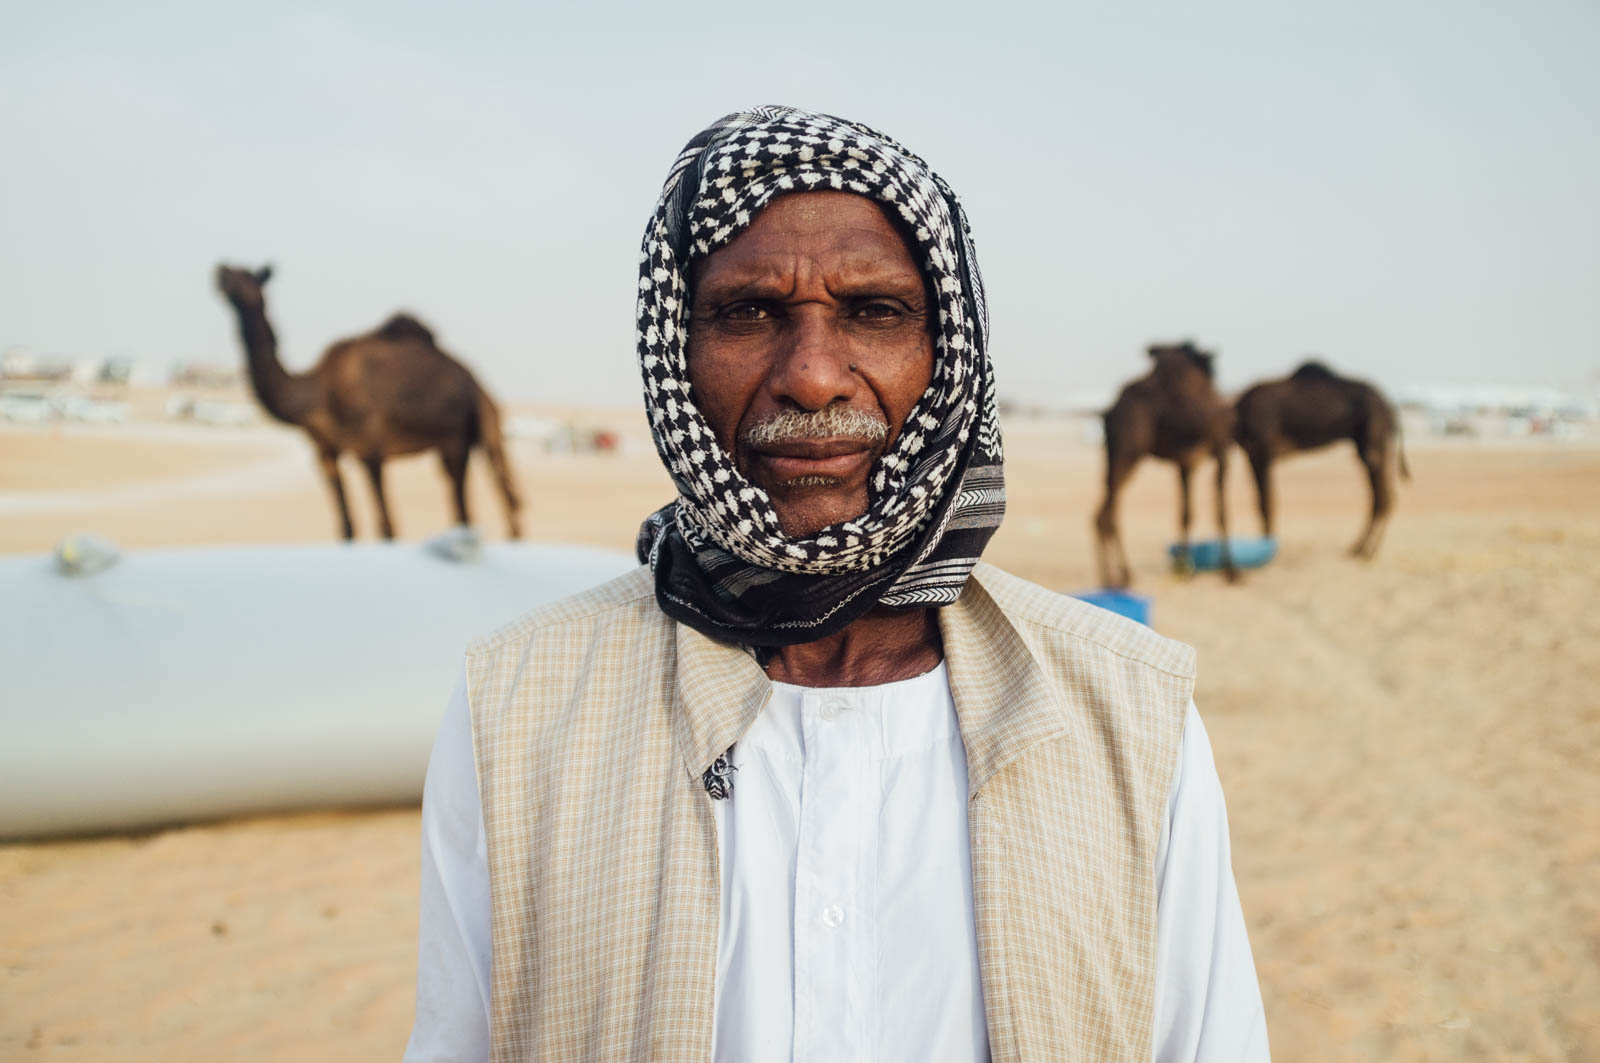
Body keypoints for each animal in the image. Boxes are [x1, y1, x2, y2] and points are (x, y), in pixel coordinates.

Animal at [215, 264, 521, 541]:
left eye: (247, 275)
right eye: (230, 271)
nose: (220, 273)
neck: (317, 392)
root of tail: (476, 382)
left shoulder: (371, 448)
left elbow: (387, 527)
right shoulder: (325, 452)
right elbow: (347, 527)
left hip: (470, 428)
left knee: (492, 501)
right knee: (475, 508)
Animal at [1095, 341, 1237, 588]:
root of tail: (1110, 412)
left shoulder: (1189, 462)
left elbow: (1188, 513)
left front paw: (1186, 569)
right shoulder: (1216, 455)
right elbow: (1218, 512)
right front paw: (1231, 572)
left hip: (1117, 456)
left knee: (1100, 516)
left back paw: (1112, 578)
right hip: (1127, 454)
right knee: (1109, 516)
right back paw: (1121, 576)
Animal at [1233, 360, 1409, 559]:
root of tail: (1390, 407)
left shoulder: (1261, 452)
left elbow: (1266, 503)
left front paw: (1268, 550)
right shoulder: (1253, 455)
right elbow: (1261, 502)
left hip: (1373, 445)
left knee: (1382, 497)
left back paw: (1363, 550)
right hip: (1379, 448)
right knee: (1385, 497)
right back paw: (1365, 549)